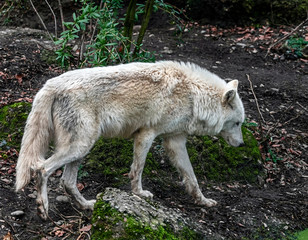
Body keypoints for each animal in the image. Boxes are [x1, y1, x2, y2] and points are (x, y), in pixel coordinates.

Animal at [15, 60, 245, 219]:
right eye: (238, 123)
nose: (242, 144)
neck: (193, 95)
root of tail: (50, 84)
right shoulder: (147, 134)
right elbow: (137, 169)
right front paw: (139, 194)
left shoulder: (175, 141)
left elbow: (192, 178)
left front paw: (203, 201)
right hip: (80, 147)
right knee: (41, 169)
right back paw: (43, 209)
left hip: (81, 149)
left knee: (67, 182)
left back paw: (87, 205)